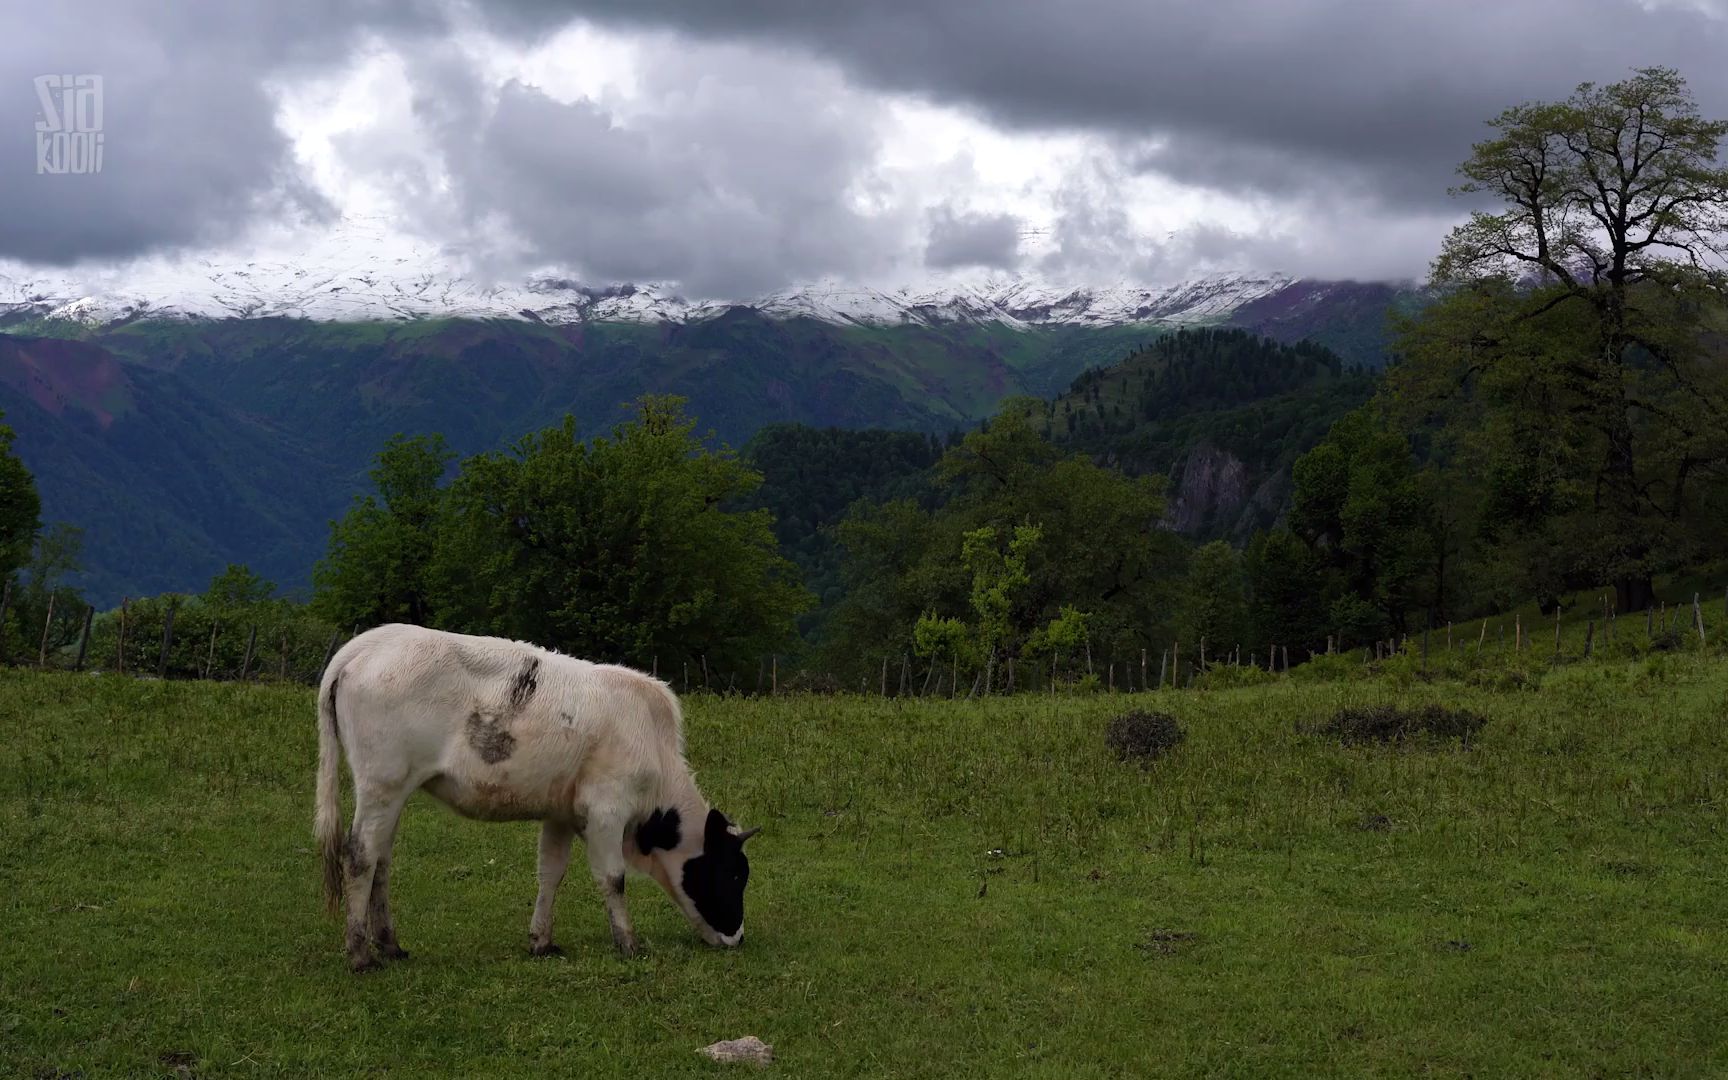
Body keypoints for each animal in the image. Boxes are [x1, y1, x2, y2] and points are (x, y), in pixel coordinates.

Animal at [312, 622, 756, 967]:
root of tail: (367, 643)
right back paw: (360, 954)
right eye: (734, 873)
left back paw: (390, 945)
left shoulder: (561, 812)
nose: (738, 938)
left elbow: (550, 873)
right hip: (381, 785)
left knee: (381, 862)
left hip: (392, 793)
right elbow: (613, 878)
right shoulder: (607, 809)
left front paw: (541, 941)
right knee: (360, 856)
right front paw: (628, 942)